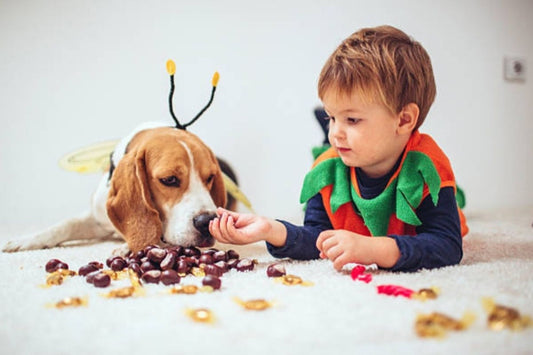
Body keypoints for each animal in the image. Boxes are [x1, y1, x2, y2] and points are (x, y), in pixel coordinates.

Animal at [3, 122, 229, 256]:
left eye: (209, 177)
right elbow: (65, 224)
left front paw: (126, 248)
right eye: (169, 179)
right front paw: (27, 240)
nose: (207, 222)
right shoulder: (98, 220)